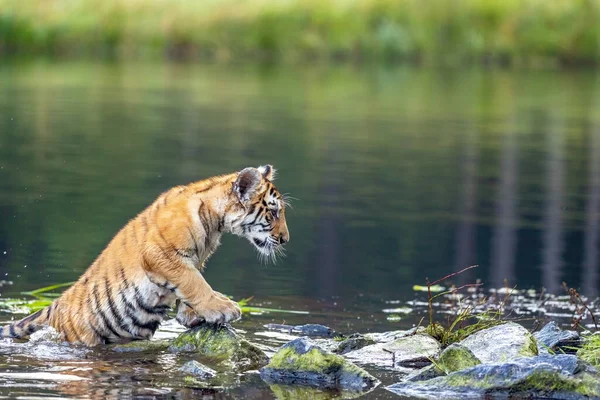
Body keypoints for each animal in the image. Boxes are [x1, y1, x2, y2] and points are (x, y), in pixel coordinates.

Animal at [0, 166, 288, 346]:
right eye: (273, 213)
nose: (286, 239)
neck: (214, 222)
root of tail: (54, 306)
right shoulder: (162, 255)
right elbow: (195, 283)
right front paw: (223, 308)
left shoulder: (192, 260)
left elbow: (190, 286)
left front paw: (193, 315)